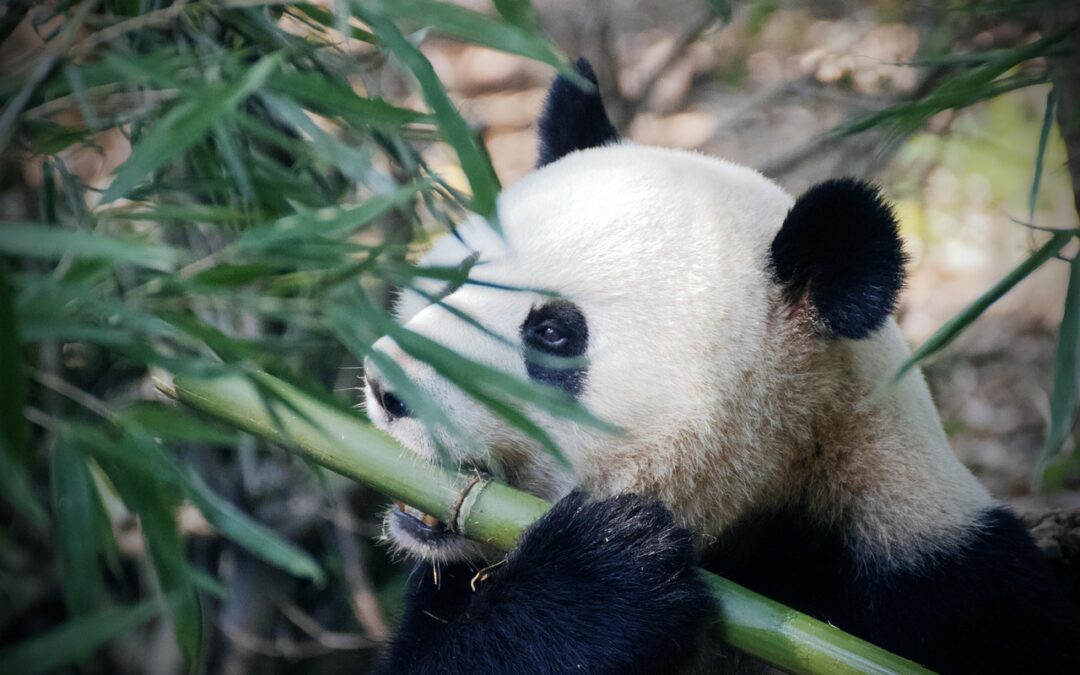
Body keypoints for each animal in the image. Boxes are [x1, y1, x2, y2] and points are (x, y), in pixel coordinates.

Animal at [365, 60, 1080, 669]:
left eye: (552, 333)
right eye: (455, 276)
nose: (385, 385)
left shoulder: (939, 577)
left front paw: (607, 562)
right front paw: (605, 569)